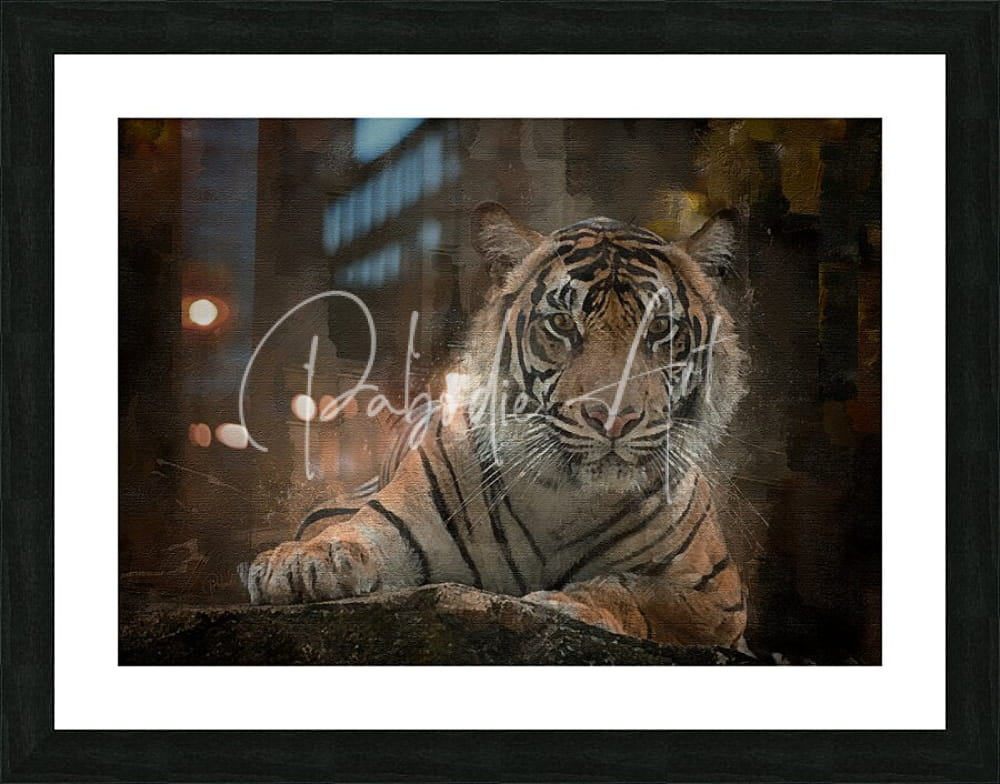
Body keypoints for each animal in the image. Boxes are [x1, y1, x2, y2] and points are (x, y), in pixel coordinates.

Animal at [247, 202, 750, 648]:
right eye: (562, 323)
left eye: (660, 328)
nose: (613, 418)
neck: (566, 500)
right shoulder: (393, 522)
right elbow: (352, 535)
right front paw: (298, 564)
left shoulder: (718, 597)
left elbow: (637, 589)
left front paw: (569, 603)